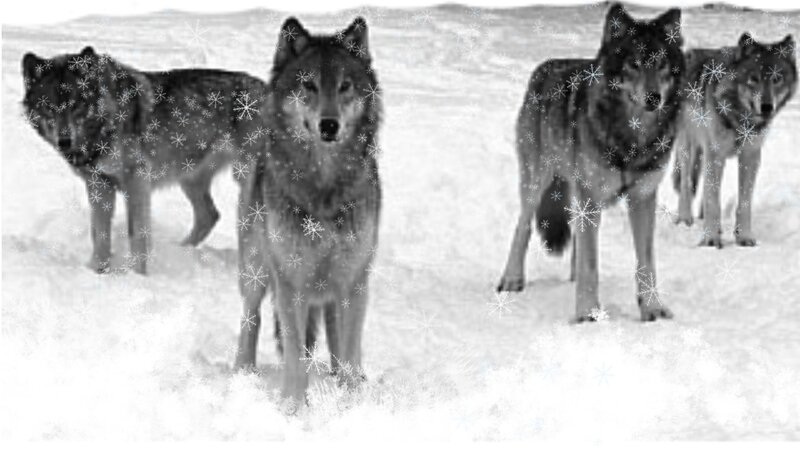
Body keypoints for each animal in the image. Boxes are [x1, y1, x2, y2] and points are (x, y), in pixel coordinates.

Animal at [21, 47, 269, 274]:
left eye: (76, 105)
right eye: (48, 106)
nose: (64, 141)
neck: (105, 126)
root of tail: (268, 88)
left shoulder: (137, 181)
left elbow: (136, 234)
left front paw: (136, 276)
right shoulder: (98, 183)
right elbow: (99, 234)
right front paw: (98, 271)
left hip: (245, 184)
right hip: (189, 178)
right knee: (210, 215)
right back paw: (181, 251)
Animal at [233, 17, 382, 408]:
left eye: (345, 86)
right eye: (309, 85)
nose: (329, 125)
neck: (324, 188)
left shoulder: (353, 279)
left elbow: (348, 348)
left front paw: (352, 404)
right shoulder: (290, 281)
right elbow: (295, 355)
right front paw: (293, 407)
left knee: (338, 339)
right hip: (255, 267)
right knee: (250, 317)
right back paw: (241, 373)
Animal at [497, 4, 685, 322]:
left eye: (661, 65)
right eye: (634, 64)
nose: (654, 97)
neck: (631, 137)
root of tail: (543, 68)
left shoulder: (642, 197)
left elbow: (645, 262)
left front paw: (652, 309)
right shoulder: (591, 196)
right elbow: (591, 264)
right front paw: (587, 314)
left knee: (576, 239)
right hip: (538, 183)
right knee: (523, 226)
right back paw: (511, 279)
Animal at [673, 33, 797, 247]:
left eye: (777, 79)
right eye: (753, 79)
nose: (767, 107)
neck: (740, 117)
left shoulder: (750, 156)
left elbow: (743, 203)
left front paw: (744, 237)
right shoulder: (716, 153)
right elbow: (713, 201)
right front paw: (710, 240)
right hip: (688, 147)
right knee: (687, 183)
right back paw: (685, 219)